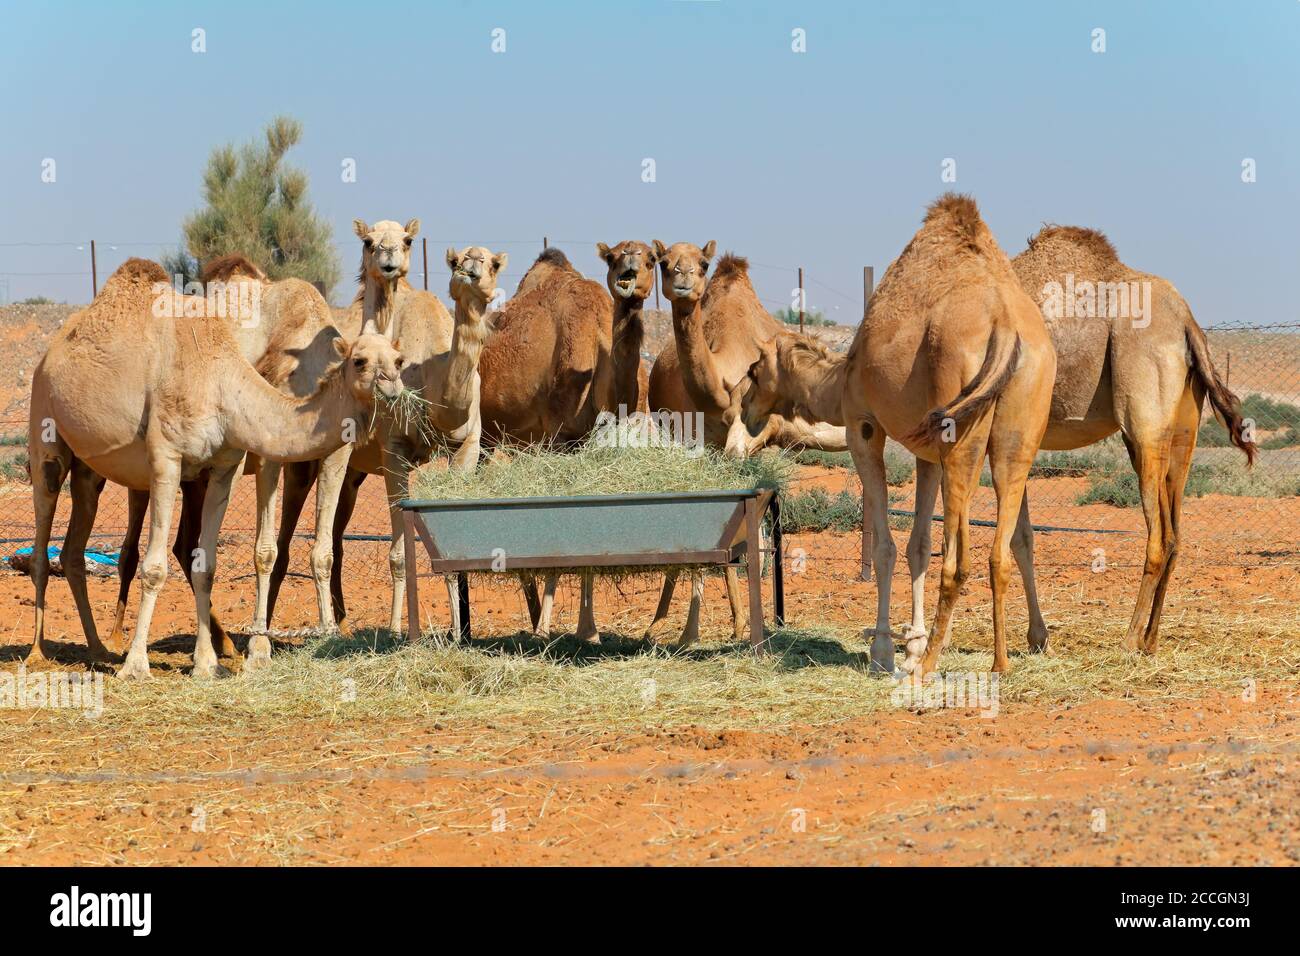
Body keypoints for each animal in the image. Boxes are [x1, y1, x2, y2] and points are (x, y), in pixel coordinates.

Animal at [30, 257, 405, 676]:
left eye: (399, 361)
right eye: (360, 361)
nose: (393, 387)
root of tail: (53, 349)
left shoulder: (225, 466)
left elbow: (205, 564)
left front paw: (207, 664)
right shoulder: (167, 460)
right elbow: (156, 567)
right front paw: (138, 665)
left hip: (90, 468)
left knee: (74, 551)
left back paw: (98, 649)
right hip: (44, 425)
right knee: (44, 534)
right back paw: (38, 653)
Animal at [842, 195, 1055, 676]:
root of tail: (1005, 326)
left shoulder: (862, 426)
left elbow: (886, 547)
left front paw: (885, 651)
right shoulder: (927, 454)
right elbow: (919, 544)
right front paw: (910, 645)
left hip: (959, 429)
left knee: (959, 562)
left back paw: (928, 666)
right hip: (1018, 429)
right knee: (1000, 550)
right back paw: (999, 662)